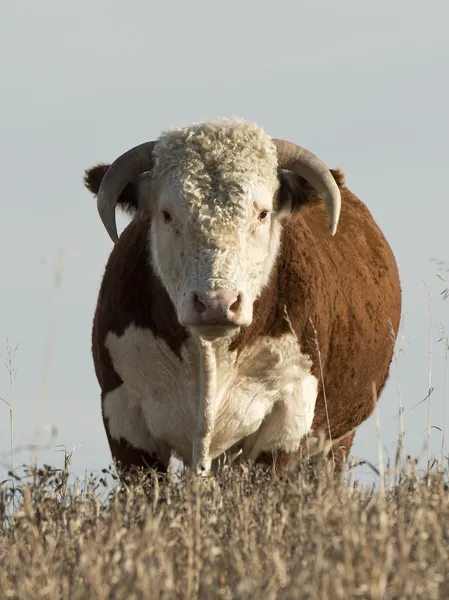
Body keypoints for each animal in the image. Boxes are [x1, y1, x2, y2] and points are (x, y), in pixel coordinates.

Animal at [85, 117, 402, 478]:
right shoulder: (124, 420)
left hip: (334, 442)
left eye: (262, 213)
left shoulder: (288, 417)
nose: (216, 303)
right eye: (167, 214)